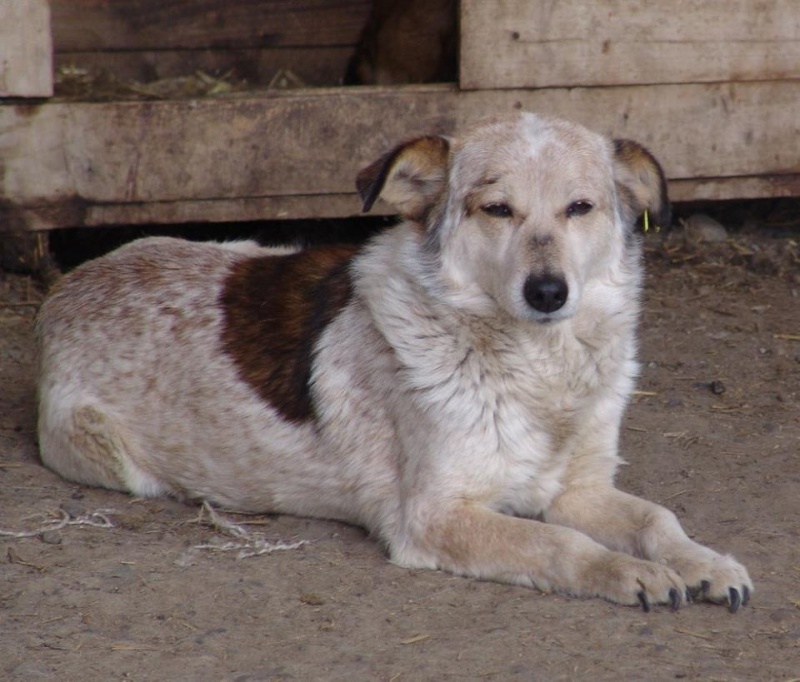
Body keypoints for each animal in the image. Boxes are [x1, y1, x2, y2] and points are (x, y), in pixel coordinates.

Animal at [34, 113, 752, 612]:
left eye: (581, 208)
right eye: (497, 209)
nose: (548, 293)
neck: (538, 371)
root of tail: (67, 288)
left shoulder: (580, 490)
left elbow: (658, 518)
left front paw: (704, 562)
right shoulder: (434, 517)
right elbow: (561, 544)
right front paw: (630, 572)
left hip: (250, 246)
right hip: (111, 458)